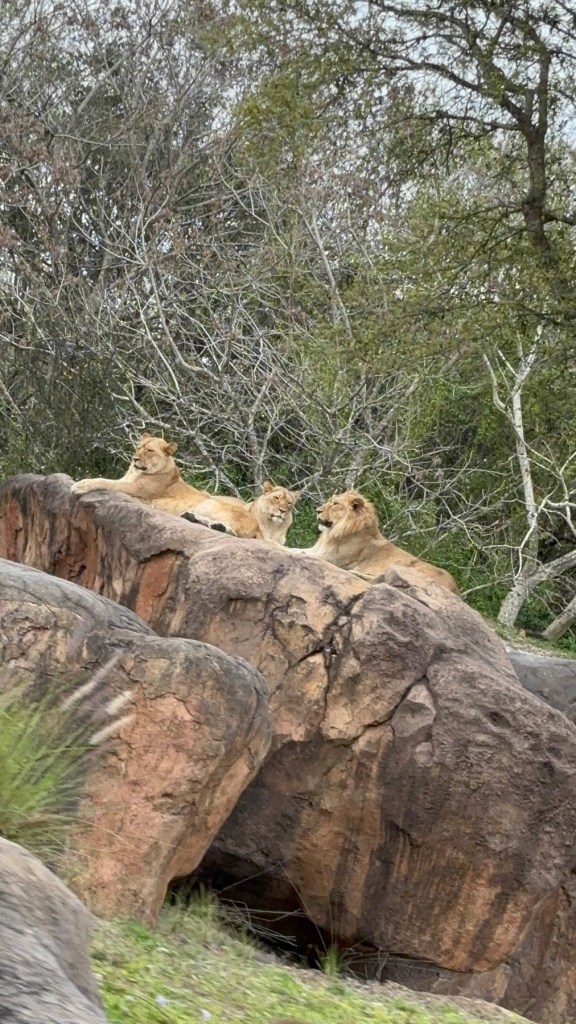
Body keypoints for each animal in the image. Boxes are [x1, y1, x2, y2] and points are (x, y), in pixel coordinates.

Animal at [293, 489, 460, 594]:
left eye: (336, 504)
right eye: (330, 501)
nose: (317, 511)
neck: (334, 531)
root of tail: (456, 590)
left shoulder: (332, 559)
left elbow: (300, 552)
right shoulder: (317, 550)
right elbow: (295, 549)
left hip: (407, 566)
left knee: (383, 579)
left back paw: (354, 572)